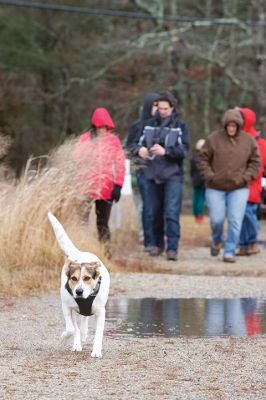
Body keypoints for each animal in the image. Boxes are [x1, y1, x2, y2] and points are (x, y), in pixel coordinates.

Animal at [47, 211, 110, 358]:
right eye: (74, 278)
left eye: (87, 278)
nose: (79, 291)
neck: (85, 298)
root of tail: (79, 253)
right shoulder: (67, 307)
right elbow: (71, 329)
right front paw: (66, 338)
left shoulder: (101, 312)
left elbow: (98, 333)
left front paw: (96, 350)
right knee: (77, 324)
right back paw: (78, 340)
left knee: (84, 319)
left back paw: (84, 333)